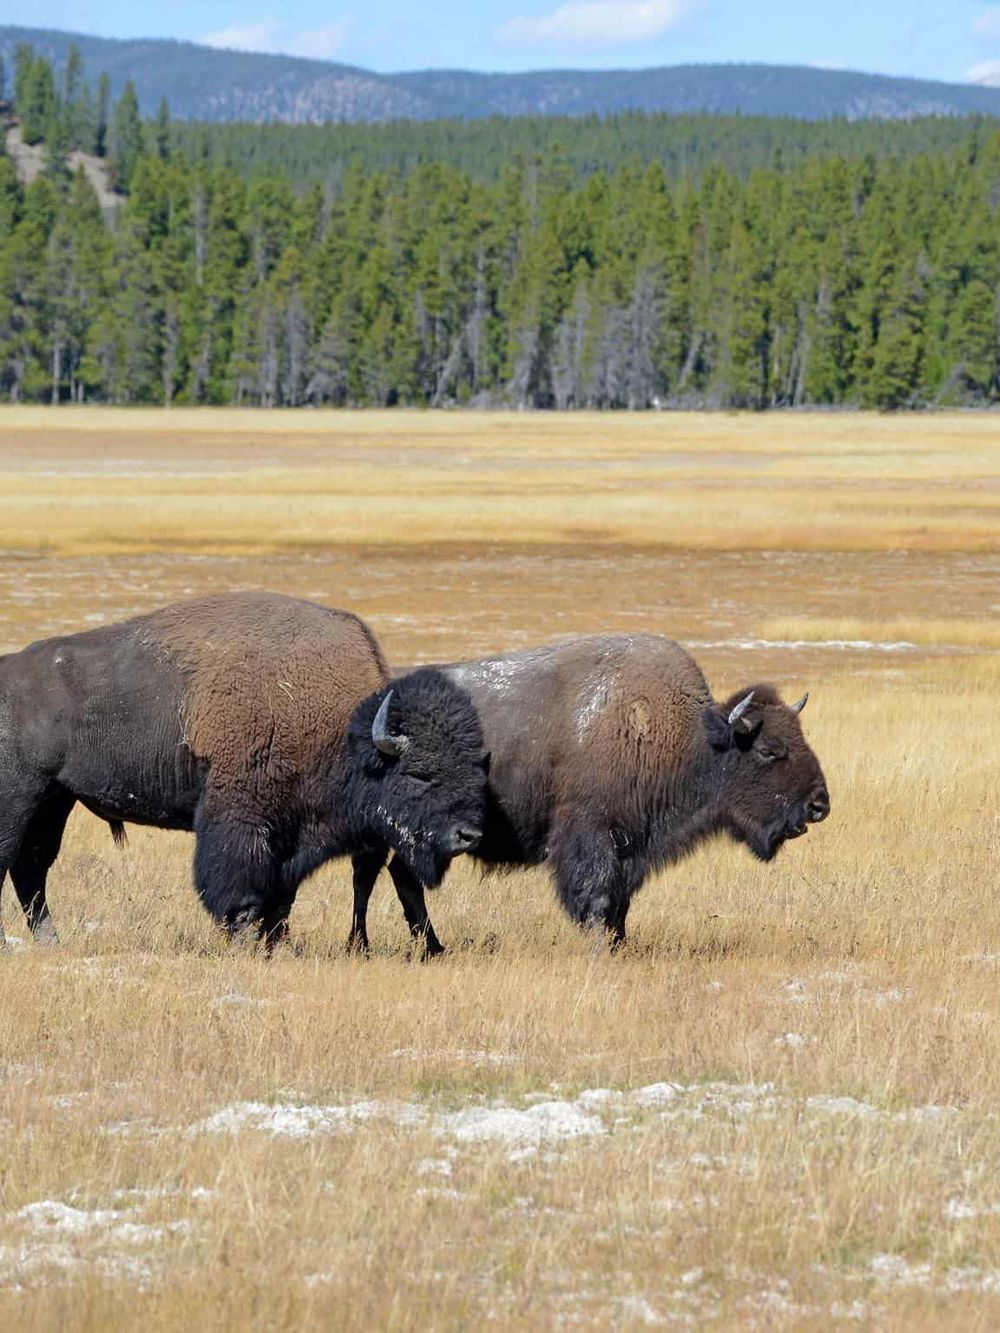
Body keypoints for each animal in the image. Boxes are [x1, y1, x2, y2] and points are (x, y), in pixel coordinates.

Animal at [0, 592, 486, 948]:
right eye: (419, 774)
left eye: (471, 767)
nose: (468, 835)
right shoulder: (242, 817)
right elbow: (240, 885)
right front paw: (242, 938)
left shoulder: (291, 836)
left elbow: (283, 895)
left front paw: (274, 941)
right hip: (21, 798)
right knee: (12, 864)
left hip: (54, 801)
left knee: (31, 870)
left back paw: (51, 942)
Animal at [350, 634, 830, 953]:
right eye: (769, 750)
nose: (819, 805)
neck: (686, 736)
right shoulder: (591, 835)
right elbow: (597, 896)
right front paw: (602, 946)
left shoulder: (631, 847)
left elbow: (621, 901)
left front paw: (619, 943)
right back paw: (430, 947)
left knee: (400, 875)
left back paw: (433, 947)